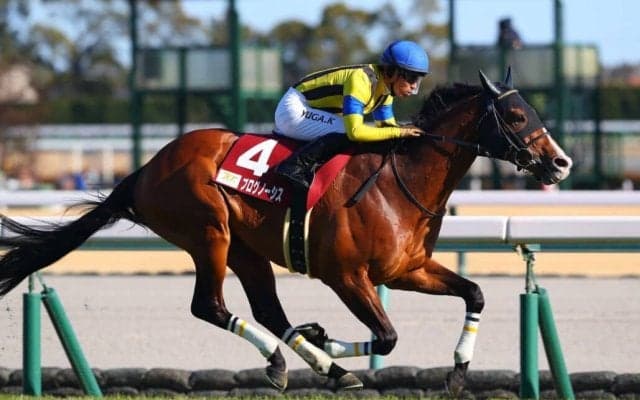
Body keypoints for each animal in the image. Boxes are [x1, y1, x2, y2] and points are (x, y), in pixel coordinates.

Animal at [0, 70, 572, 396]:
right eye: (516, 115)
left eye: (533, 110)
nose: (561, 163)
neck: (400, 178)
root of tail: (144, 169)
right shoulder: (347, 276)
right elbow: (387, 338)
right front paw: (326, 341)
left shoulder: (406, 269)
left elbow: (474, 294)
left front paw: (456, 371)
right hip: (208, 233)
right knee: (210, 306)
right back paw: (287, 357)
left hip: (246, 249)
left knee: (267, 310)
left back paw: (316, 360)